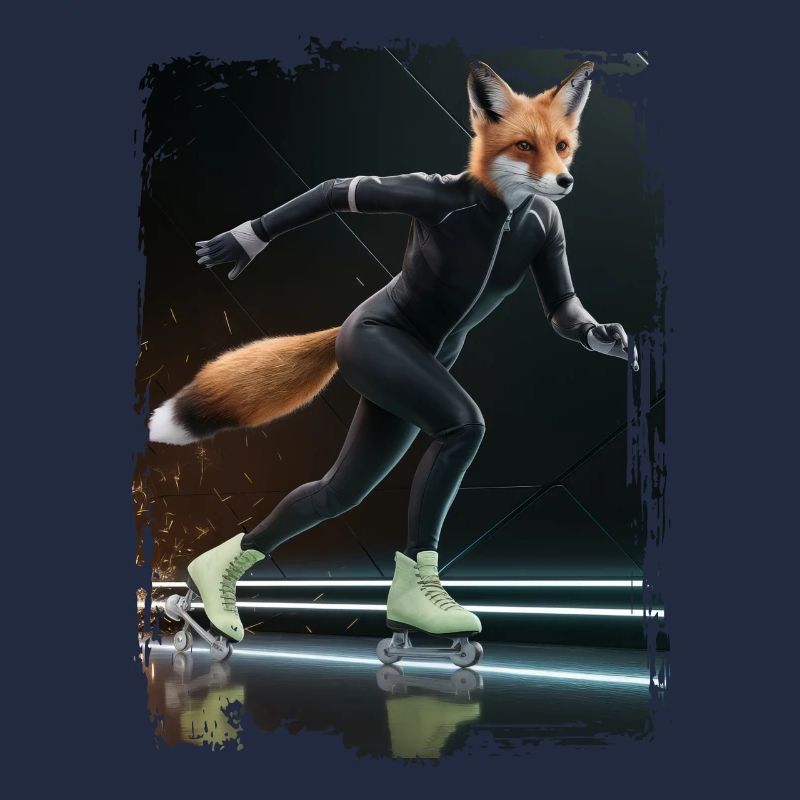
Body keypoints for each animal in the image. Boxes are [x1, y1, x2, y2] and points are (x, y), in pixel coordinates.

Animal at [148, 59, 634, 448]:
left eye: (562, 146)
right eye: (525, 146)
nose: (565, 181)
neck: (502, 212)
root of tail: (342, 327)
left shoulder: (552, 226)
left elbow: (560, 304)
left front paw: (605, 338)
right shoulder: (430, 194)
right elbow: (342, 188)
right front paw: (244, 240)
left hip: (392, 410)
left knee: (333, 490)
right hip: (386, 362)